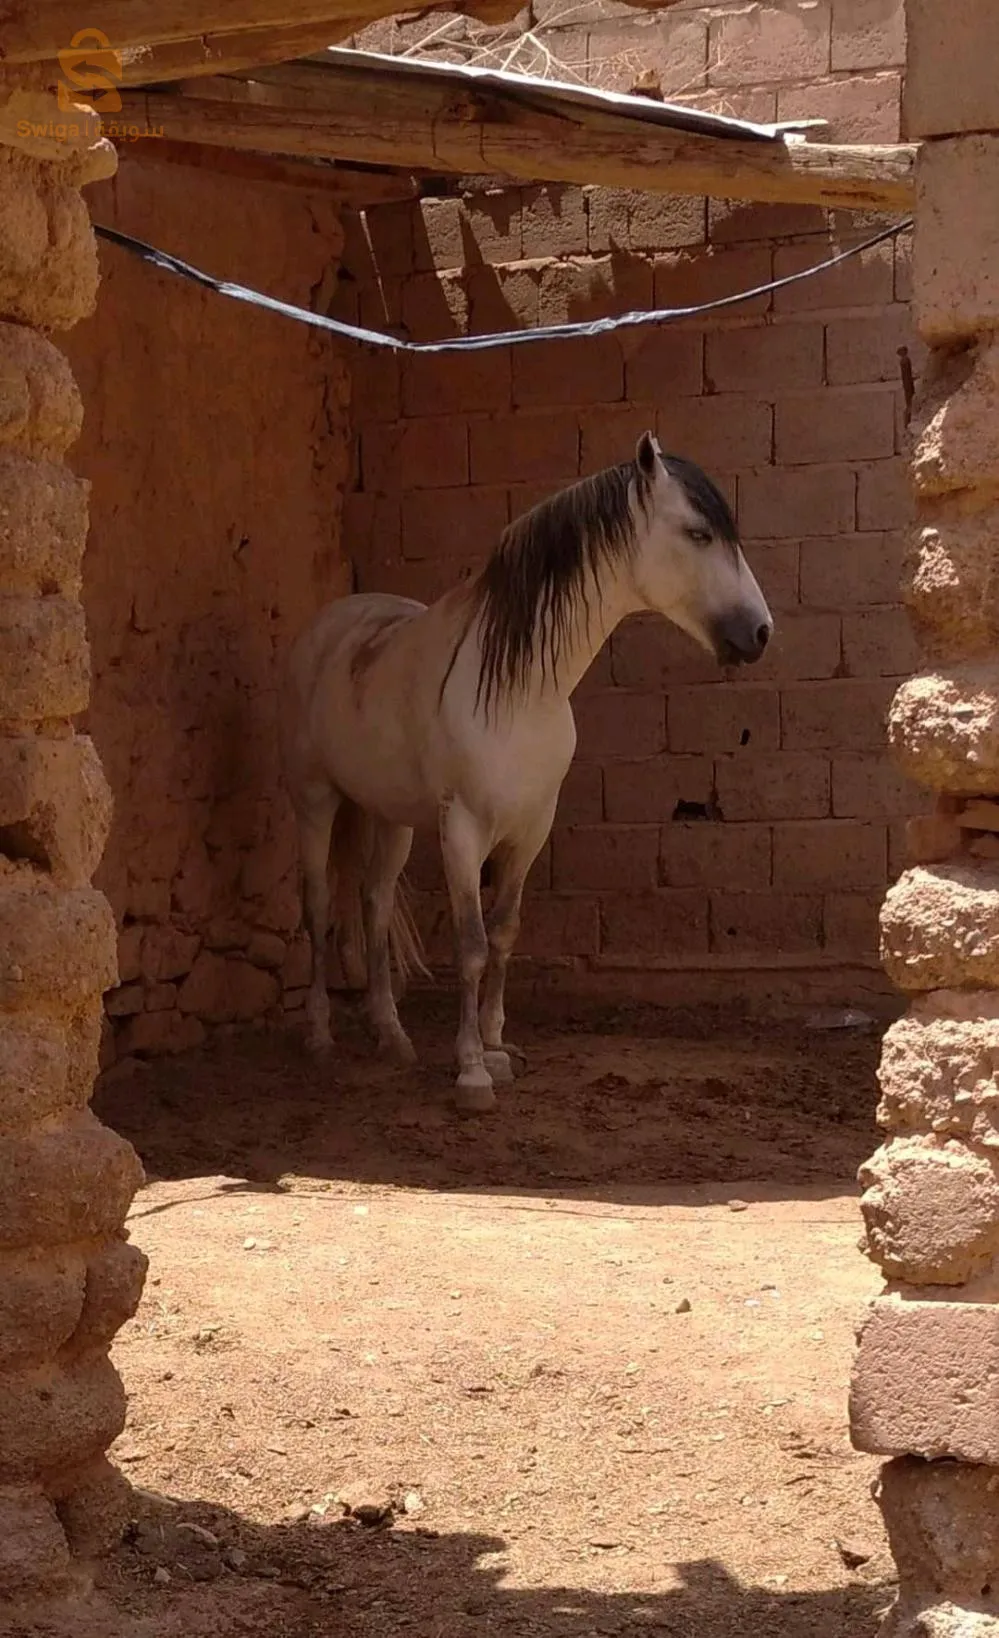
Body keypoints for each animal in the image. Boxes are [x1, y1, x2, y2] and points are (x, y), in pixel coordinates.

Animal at [280, 431, 773, 1112]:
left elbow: (505, 934)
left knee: (375, 904)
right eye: (698, 533)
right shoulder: (463, 830)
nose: (760, 633)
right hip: (316, 802)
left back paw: (391, 1035)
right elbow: (470, 944)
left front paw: (495, 1048)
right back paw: (320, 1036)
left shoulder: (532, 829)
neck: (519, 688)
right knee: (319, 906)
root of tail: (326, 628)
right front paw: (471, 1072)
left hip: (391, 818)